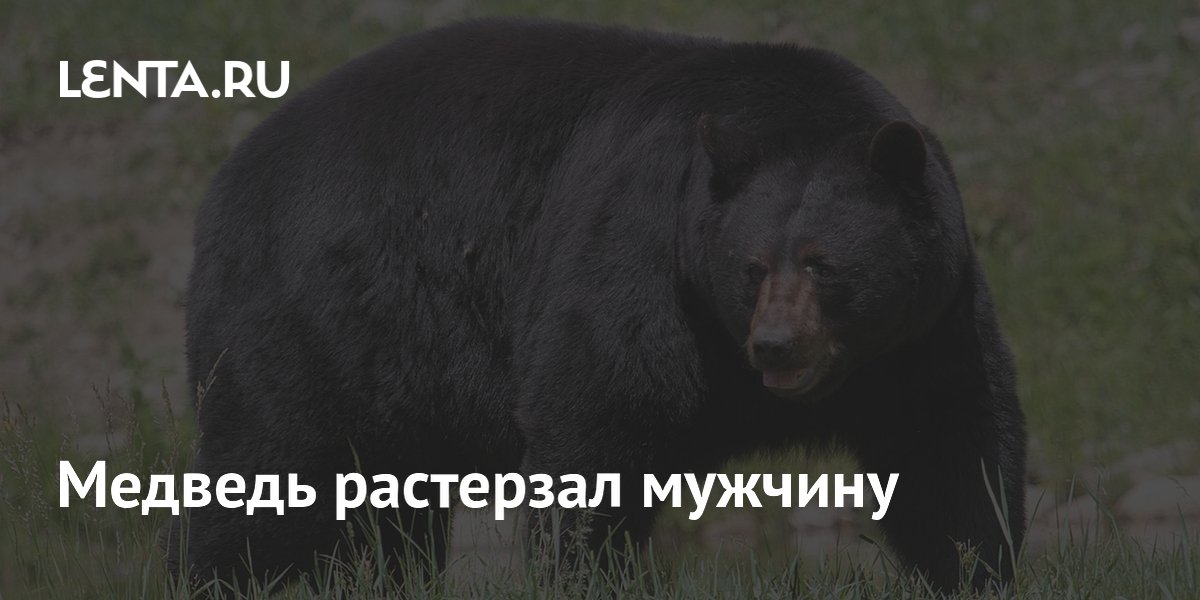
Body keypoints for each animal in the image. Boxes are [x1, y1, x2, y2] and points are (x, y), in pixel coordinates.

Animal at [166, 17, 1026, 594]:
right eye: (751, 267)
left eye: (825, 264)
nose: (777, 345)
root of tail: (231, 173)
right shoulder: (640, 259)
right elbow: (597, 421)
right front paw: (586, 570)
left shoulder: (928, 325)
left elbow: (950, 451)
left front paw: (976, 567)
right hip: (315, 310)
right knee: (267, 467)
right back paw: (207, 575)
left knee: (389, 502)